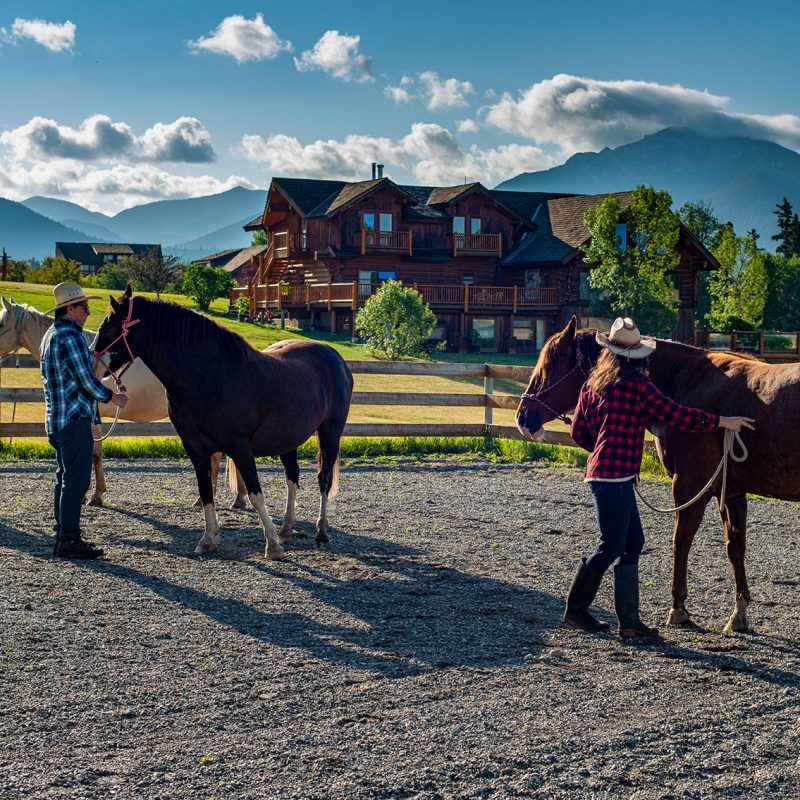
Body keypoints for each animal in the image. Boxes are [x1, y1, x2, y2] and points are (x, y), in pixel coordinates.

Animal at [0, 296, 245, 510]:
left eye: (2, 323)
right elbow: (95, 453)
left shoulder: (92, 419)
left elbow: (95, 456)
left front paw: (94, 495)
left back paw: (228, 498)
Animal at [91, 288, 354, 556]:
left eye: (105, 328)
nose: (91, 365)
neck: (211, 375)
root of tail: (335, 357)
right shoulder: (195, 448)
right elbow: (206, 491)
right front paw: (208, 539)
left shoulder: (240, 447)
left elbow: (255, 494)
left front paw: (272, 545)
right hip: (288, 439)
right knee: (293, 478)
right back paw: (287, 529)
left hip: (330, 432)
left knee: (323, 479)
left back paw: (321, 533)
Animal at [516, 316, 796, 636]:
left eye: (548, 367)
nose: (523, 417)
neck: (691, 381)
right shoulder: (731, 491)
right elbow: (735, 547)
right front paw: (738, 615)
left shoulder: (690, 486)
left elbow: (681, 542)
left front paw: (678, 609)